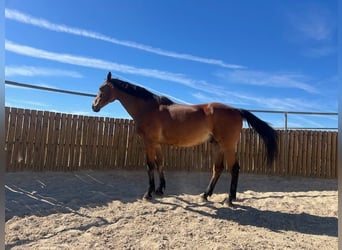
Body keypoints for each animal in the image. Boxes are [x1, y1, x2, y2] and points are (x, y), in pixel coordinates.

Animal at [91, 72, 278, 205]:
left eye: (102, 88)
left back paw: (229, 199)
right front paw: (160, 190)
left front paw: (148, 193)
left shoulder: (149, 143)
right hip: (217, 145)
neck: (149, 108)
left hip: (228, 146)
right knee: (217, 169)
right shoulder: (157, 144)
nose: (94, 106)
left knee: (234, 169)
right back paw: (205, 195)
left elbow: (150, 166)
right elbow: (160, 164)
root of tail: (237, 110)